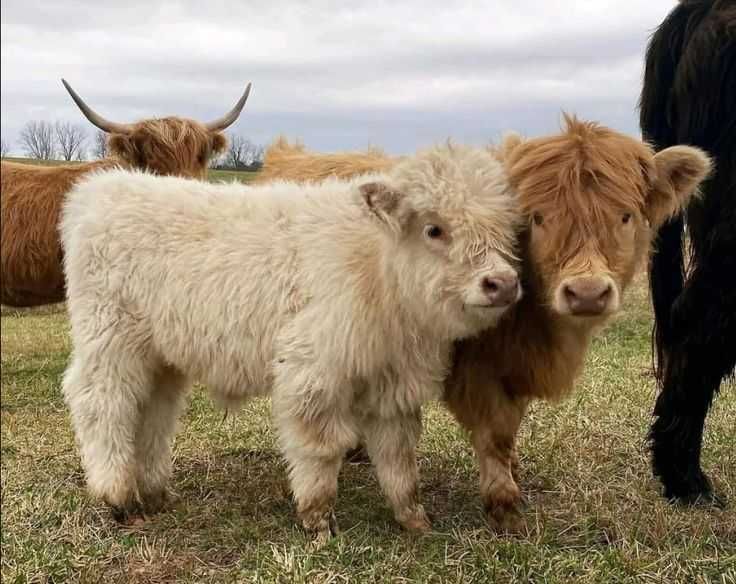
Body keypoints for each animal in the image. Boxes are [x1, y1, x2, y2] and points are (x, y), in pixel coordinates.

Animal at [59, 144, 522, 537]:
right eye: (434, 229)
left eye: (502, 227)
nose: (502, 283)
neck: (376, 265)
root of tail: (103, 189)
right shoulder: (313, 373)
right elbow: (321, 450)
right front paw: (318, 523)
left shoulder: (393, 385)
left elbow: (399, 458)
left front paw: (414, 520)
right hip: (110, 341)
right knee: (102, 404)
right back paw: (119, 496)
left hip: (160, 358)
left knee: (153, 412)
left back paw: (155, 492)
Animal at [255, 115, 712, 528]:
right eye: (537, 218)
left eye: (625, 216)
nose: (585, 293)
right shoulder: (478, 373)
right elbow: (494, 435)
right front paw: (503, 504)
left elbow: (509, 433)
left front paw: (513, 475)